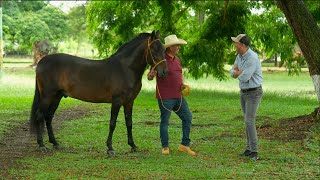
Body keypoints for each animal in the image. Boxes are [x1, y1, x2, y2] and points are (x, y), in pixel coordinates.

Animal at [30, 30, 169, 155]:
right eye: (154, 50)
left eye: (163, 49)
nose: (164, 72)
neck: (125, 69)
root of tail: (41, 62)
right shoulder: (117, 101)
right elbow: (112, 123)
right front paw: (110, 148)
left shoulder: (129, 102)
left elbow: (129, 123)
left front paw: (133, 146)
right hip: (47, 97)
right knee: (40, 116)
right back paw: (42, 145)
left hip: (56, 97)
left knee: (48, 117)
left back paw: (55, 143)